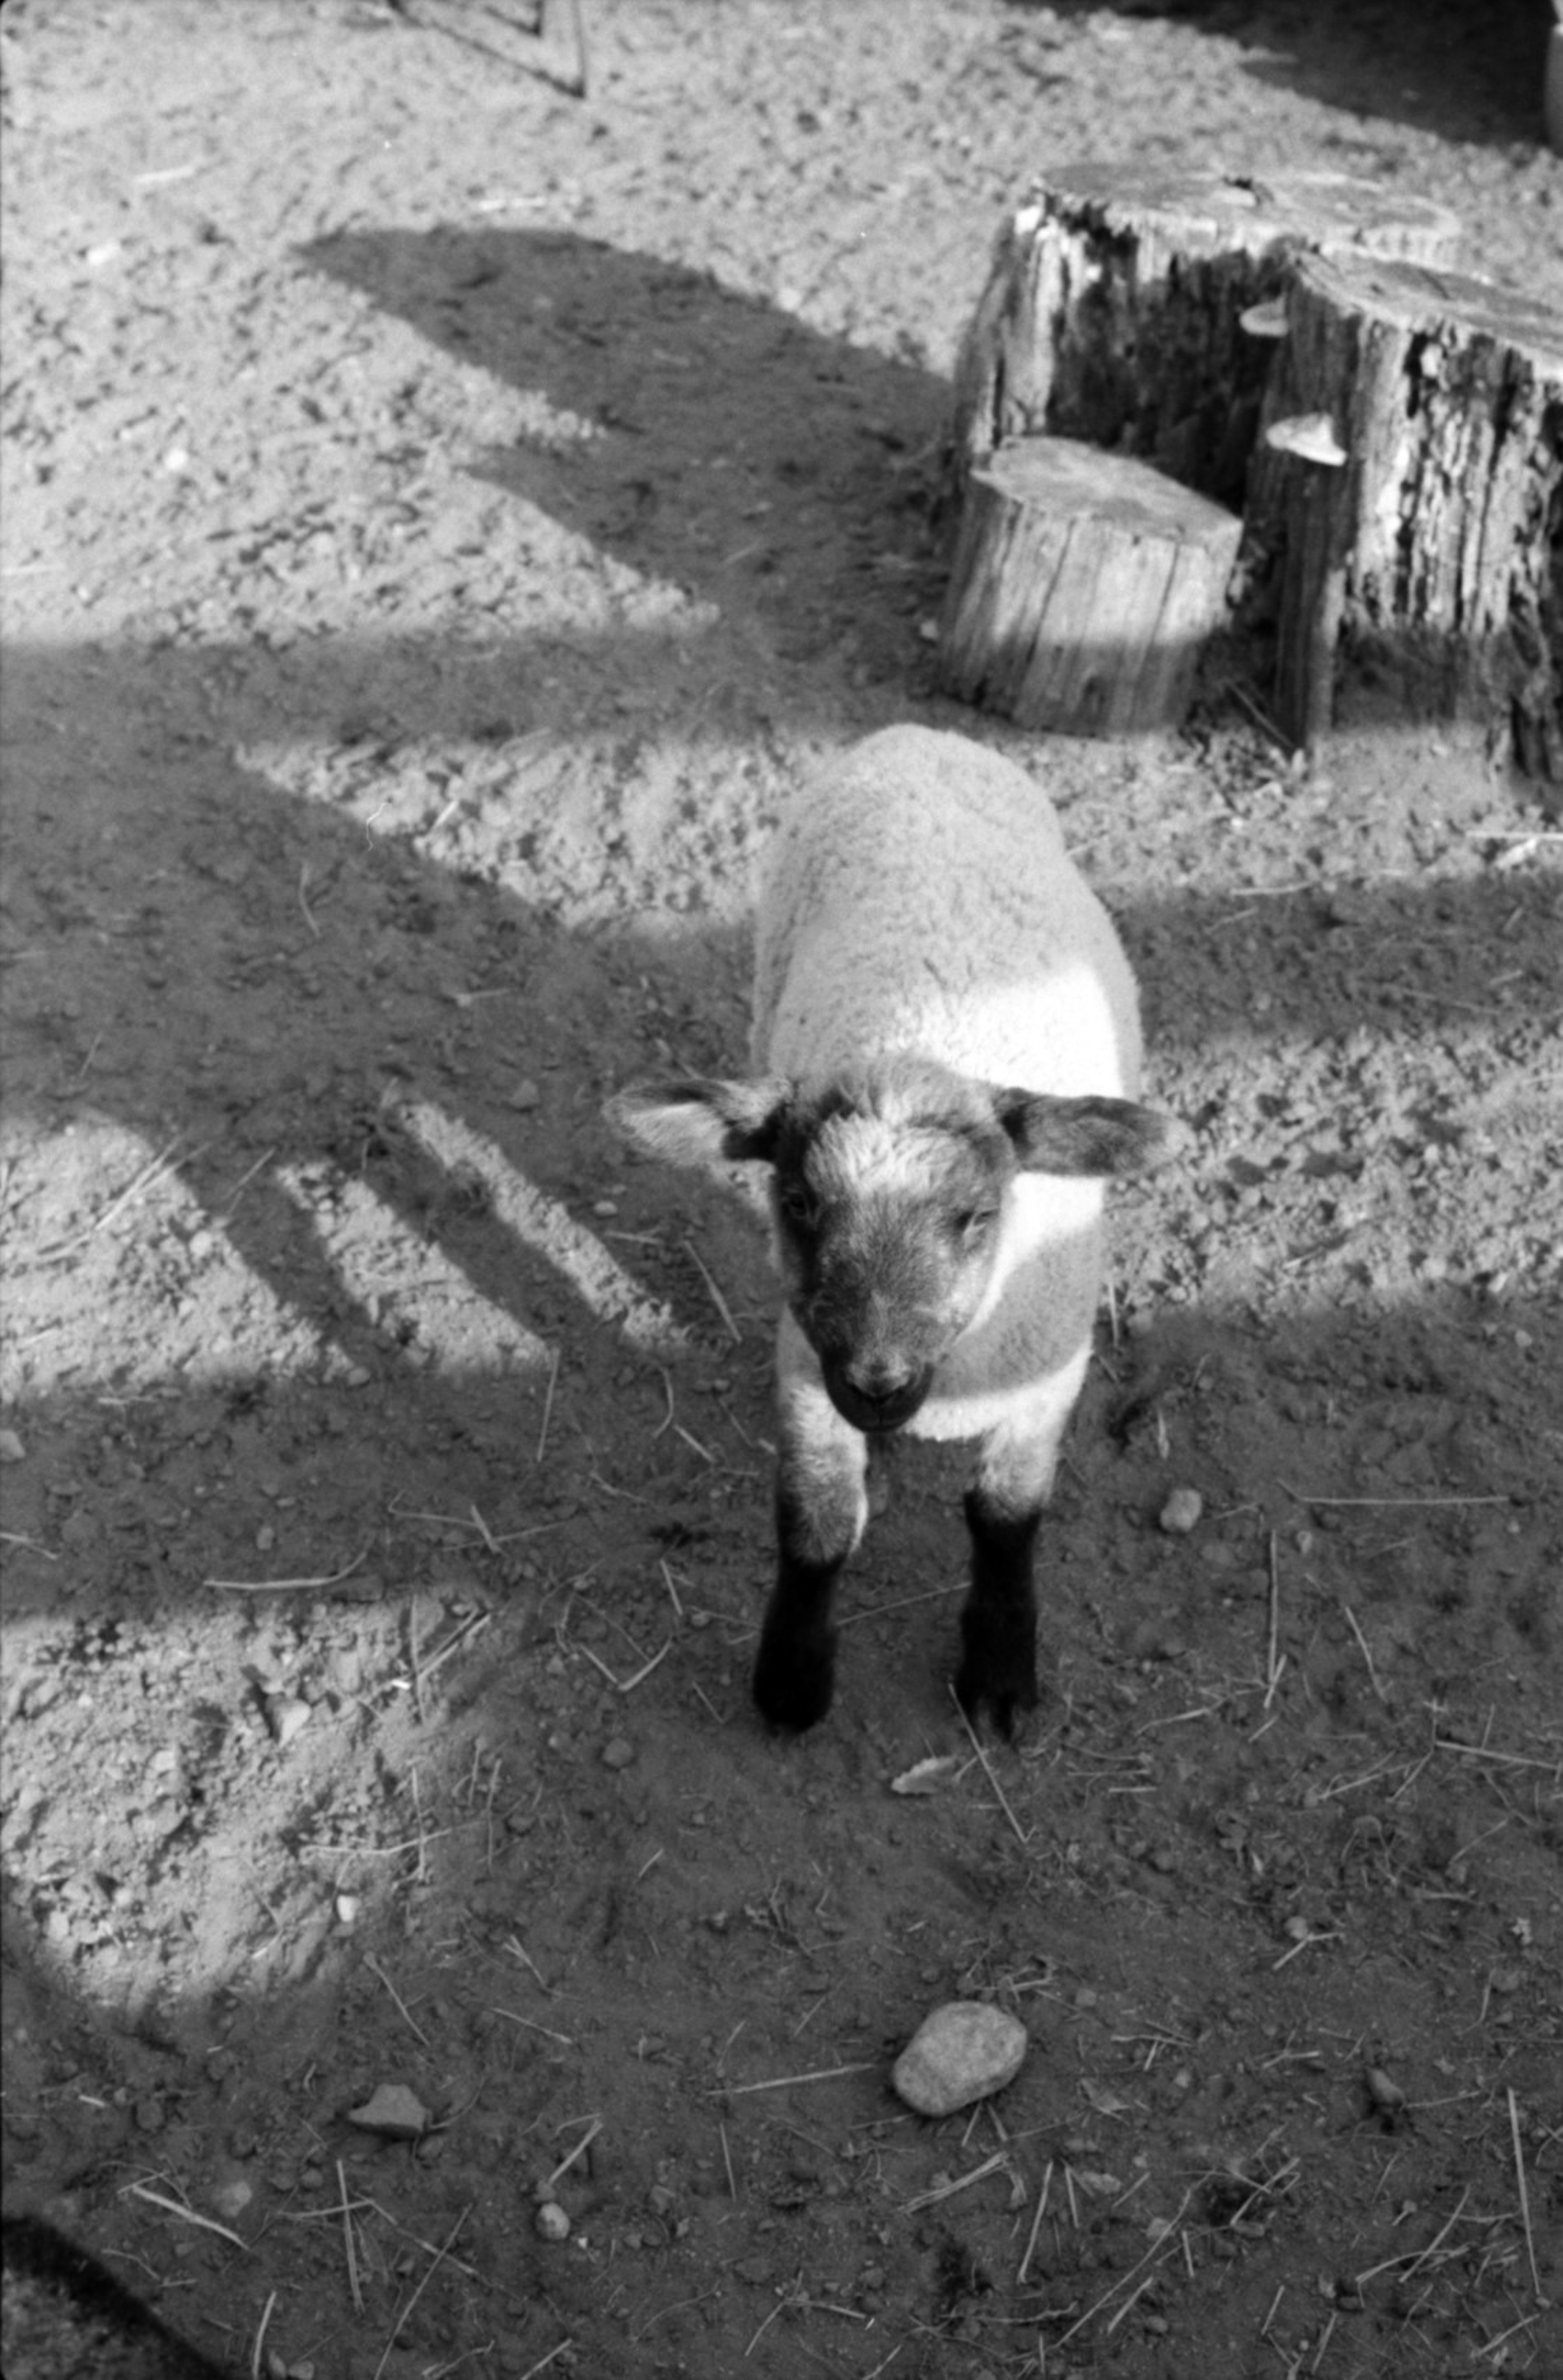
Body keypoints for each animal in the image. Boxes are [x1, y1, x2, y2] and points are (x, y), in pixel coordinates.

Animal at [613, 719, 1175, 1733]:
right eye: (798, 1203)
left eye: (978, 1214)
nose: (877, 1379)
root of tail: (918, 734)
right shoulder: (808, 1362)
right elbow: (818, 1520)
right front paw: (793, 1680)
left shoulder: (1047, 1377)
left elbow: (1006, 1520)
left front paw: (1000, 1674)